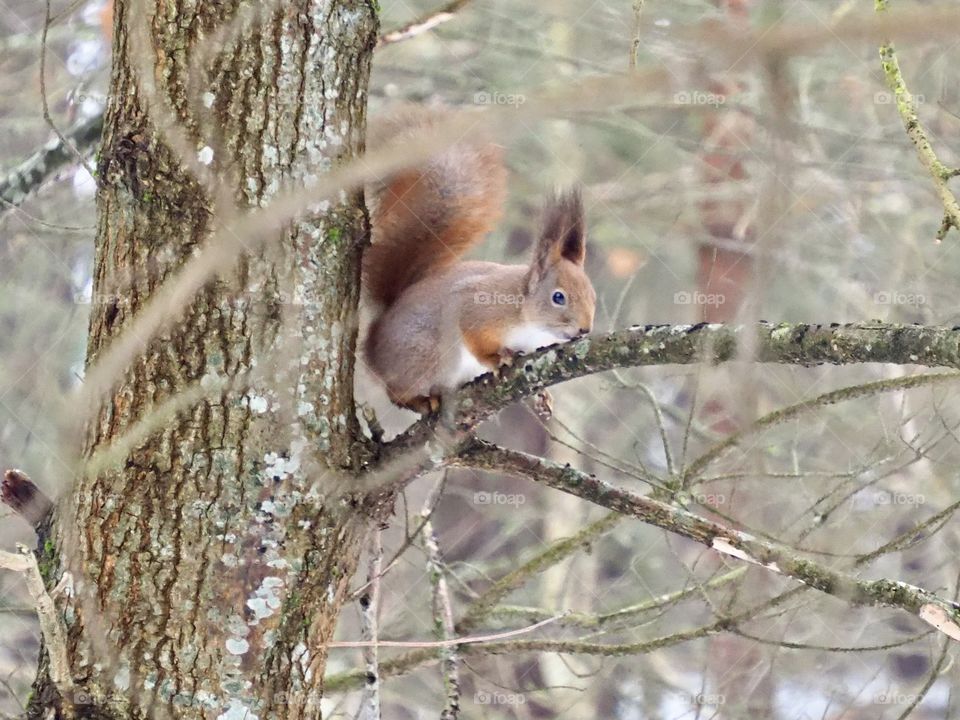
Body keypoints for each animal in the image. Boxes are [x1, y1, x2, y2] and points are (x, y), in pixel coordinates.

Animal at [362, 110, 596, 413]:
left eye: (593, 295)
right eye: (558, 297)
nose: (585, 329)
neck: (527, 316)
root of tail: (374, 342)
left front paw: (542, 396)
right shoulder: (478, 307)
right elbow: (475, 338)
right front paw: (497, 359)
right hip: (427, 356)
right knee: (396, 390)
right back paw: (420, 401)